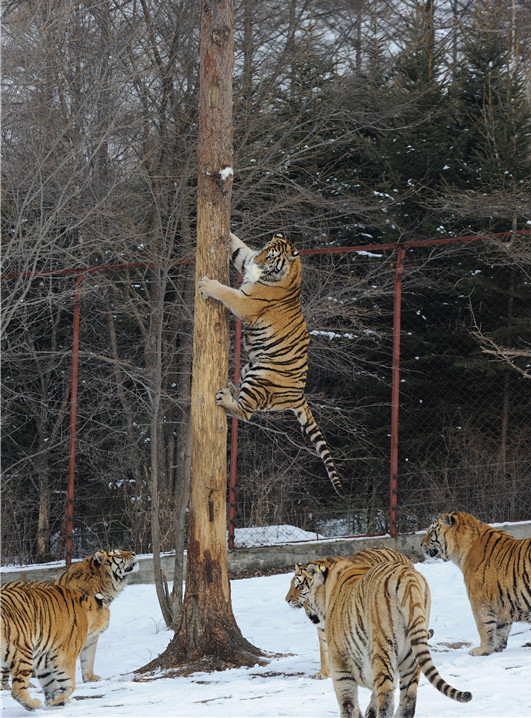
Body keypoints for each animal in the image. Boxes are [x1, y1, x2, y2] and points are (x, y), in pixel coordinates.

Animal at [0, 584, 109, 716]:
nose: (107, 626)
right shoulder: (64, 655)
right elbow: (70, 685)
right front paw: (54, 700)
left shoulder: (42, 659)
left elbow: (50, 682)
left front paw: (56, 700)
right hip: (22, 653)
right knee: (17, 691)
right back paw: (34, 704)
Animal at [197, 231, 342, 496]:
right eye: (265, 248)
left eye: (272, 256)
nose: (258, 260)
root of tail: (299, 395)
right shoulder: (244, 259)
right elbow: (239, 249)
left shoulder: (246, 302)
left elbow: (226, 292)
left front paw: (207, 285)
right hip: (251, 367)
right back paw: (230, 389)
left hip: (261, 375)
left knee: (246, 412)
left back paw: (225, 398)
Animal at [306, 564, 472, 718]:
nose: (307, 609)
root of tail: (408, 577)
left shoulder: (339, 664)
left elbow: (348, 705)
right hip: (411, 650)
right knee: (408, 700)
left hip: (383, 646)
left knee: (386, 701)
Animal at [422, 512, 528, 660]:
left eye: (431, 531)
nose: (421, 544)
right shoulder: (503, 602)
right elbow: (501, 629)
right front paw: (497, 648)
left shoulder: (479, 600)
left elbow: (483, 626)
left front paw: (482, 650)